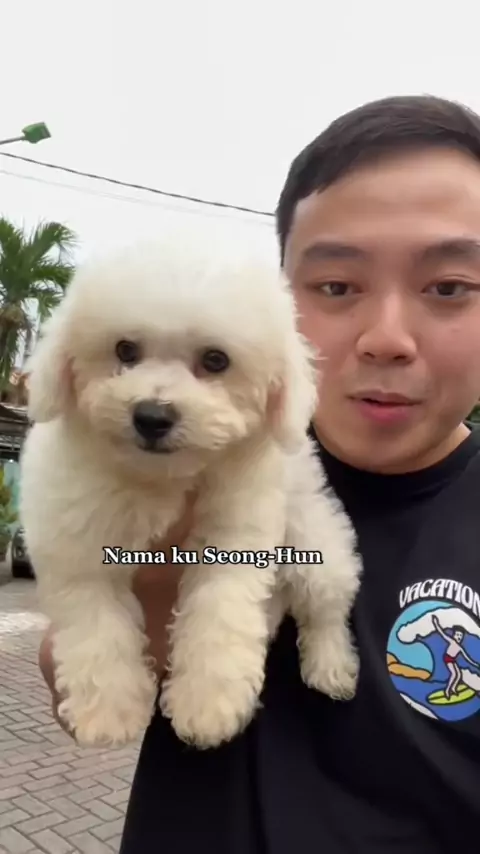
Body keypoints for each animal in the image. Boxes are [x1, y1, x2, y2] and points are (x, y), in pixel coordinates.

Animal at [20, 235, 361, 749]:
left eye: (216, 360)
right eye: (125, 350)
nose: (152, 415)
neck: (161, 478)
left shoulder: (238, 527)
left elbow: (218, 607)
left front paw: (209, 704)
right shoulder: (74, 537)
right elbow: (96, 621)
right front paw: (109, 711)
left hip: (314, 537)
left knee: (325, 607)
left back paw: (331, 667)